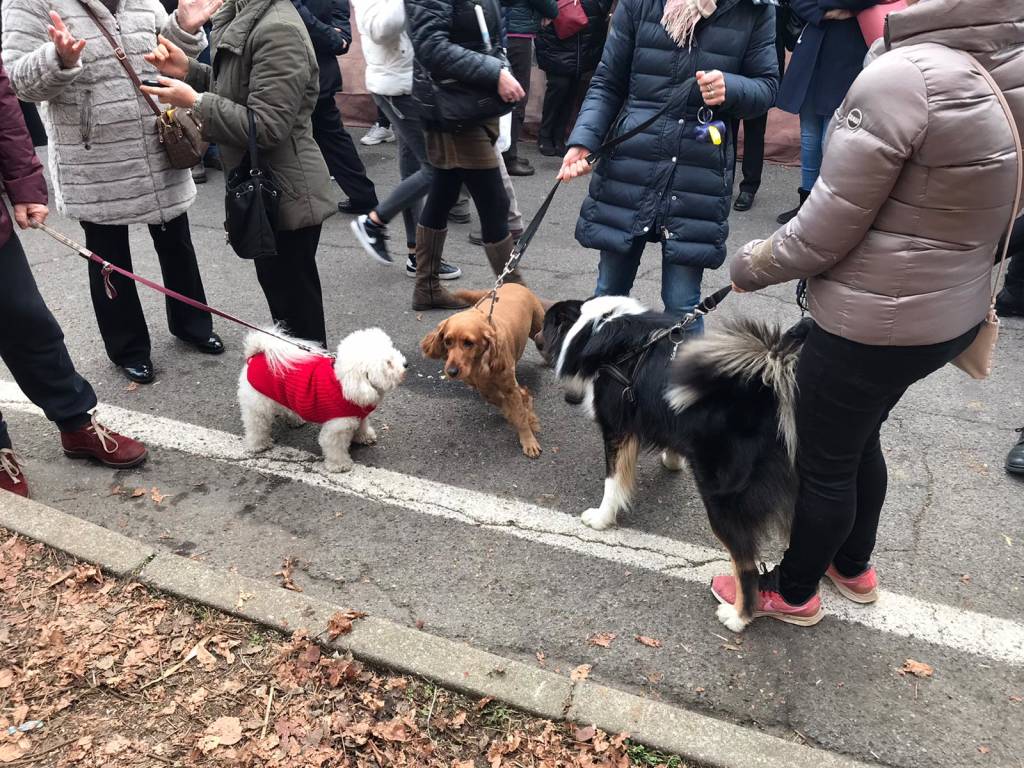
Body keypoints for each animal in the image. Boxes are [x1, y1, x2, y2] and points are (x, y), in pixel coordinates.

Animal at [419, 286, 548, 456]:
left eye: (469, 343)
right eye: (447, 341)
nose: (451, 371)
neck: (479, 363)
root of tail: (514, 284)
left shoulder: (509, 387)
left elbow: (520, 414)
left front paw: (528, 439)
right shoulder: (484, 389)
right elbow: (504, 403)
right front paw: (520, 411)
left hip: (538, 328)